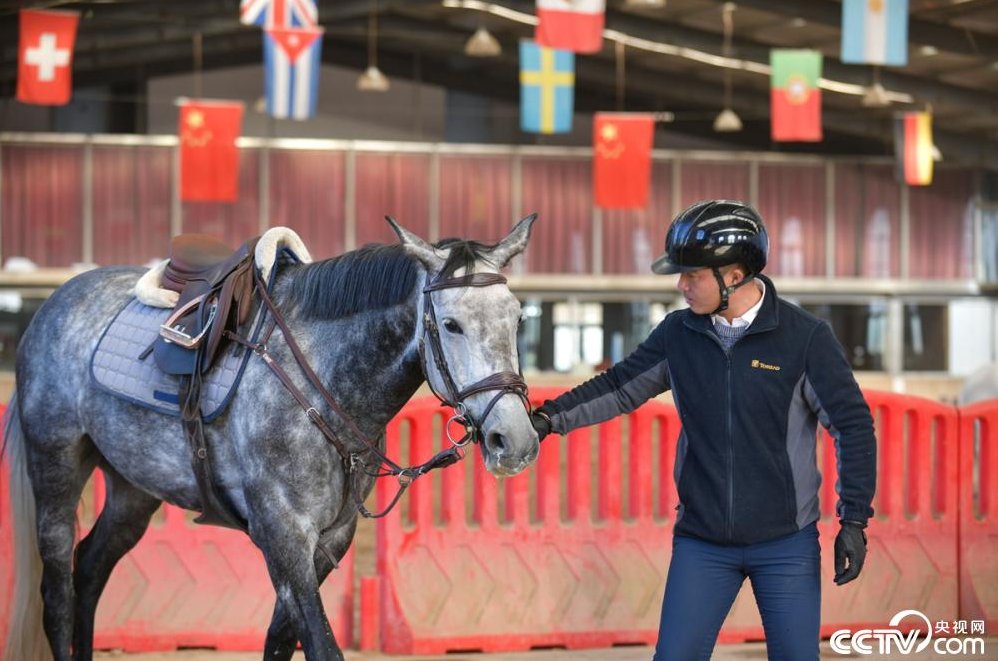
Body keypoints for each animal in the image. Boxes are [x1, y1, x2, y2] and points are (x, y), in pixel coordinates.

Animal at [3, 214, 544, 656]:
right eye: (450, 324)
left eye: (518, 318)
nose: (513, 439)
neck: (322, 381)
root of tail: (53, 305)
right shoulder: (283, 535)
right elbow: (320, 644)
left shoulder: (331, 540)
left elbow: (282, 639)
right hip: (56, 468)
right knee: (57, 592)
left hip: (133, 488)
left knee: (90, 570)